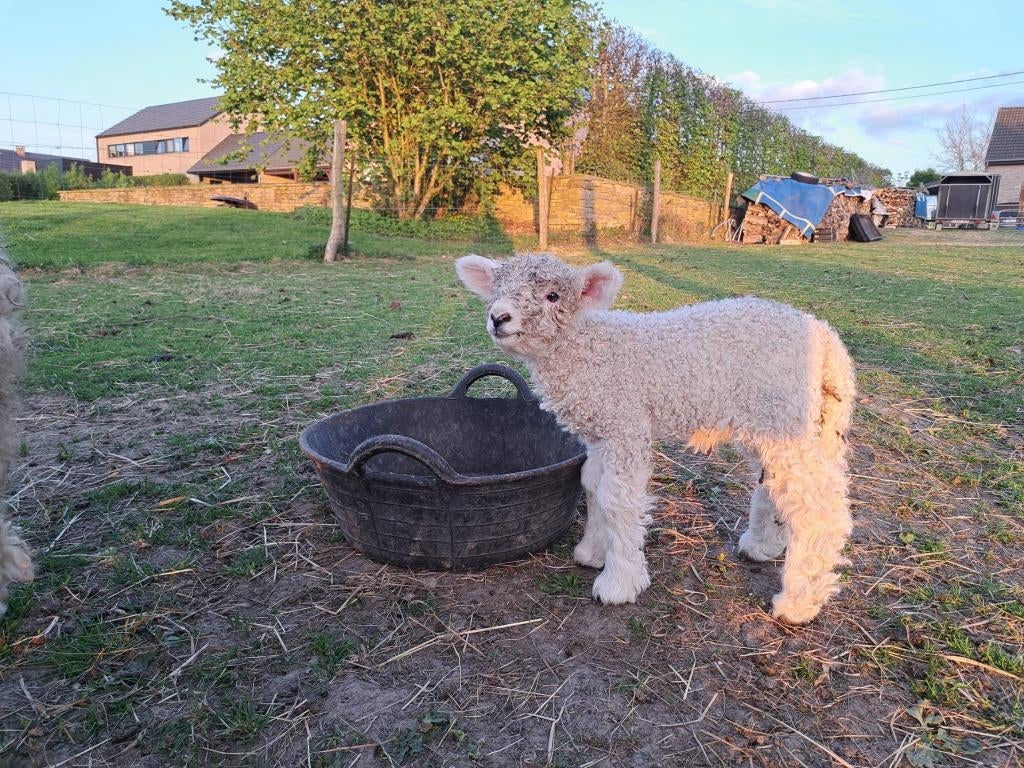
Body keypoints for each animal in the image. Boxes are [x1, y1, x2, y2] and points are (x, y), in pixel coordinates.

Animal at [456, 253, 855, 624]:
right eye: (497, 290)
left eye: (553, 296)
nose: (499, 317)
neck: (587, 349)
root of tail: (826, 339)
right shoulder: (603, 431)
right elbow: (592, 484)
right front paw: (592, 552)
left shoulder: (626, 424)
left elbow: (617, 498)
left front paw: (618, 582)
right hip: (777, 419)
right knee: (777, 484)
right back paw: (762, 545)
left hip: (780, 413)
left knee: (816, 504)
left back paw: (799, 601)